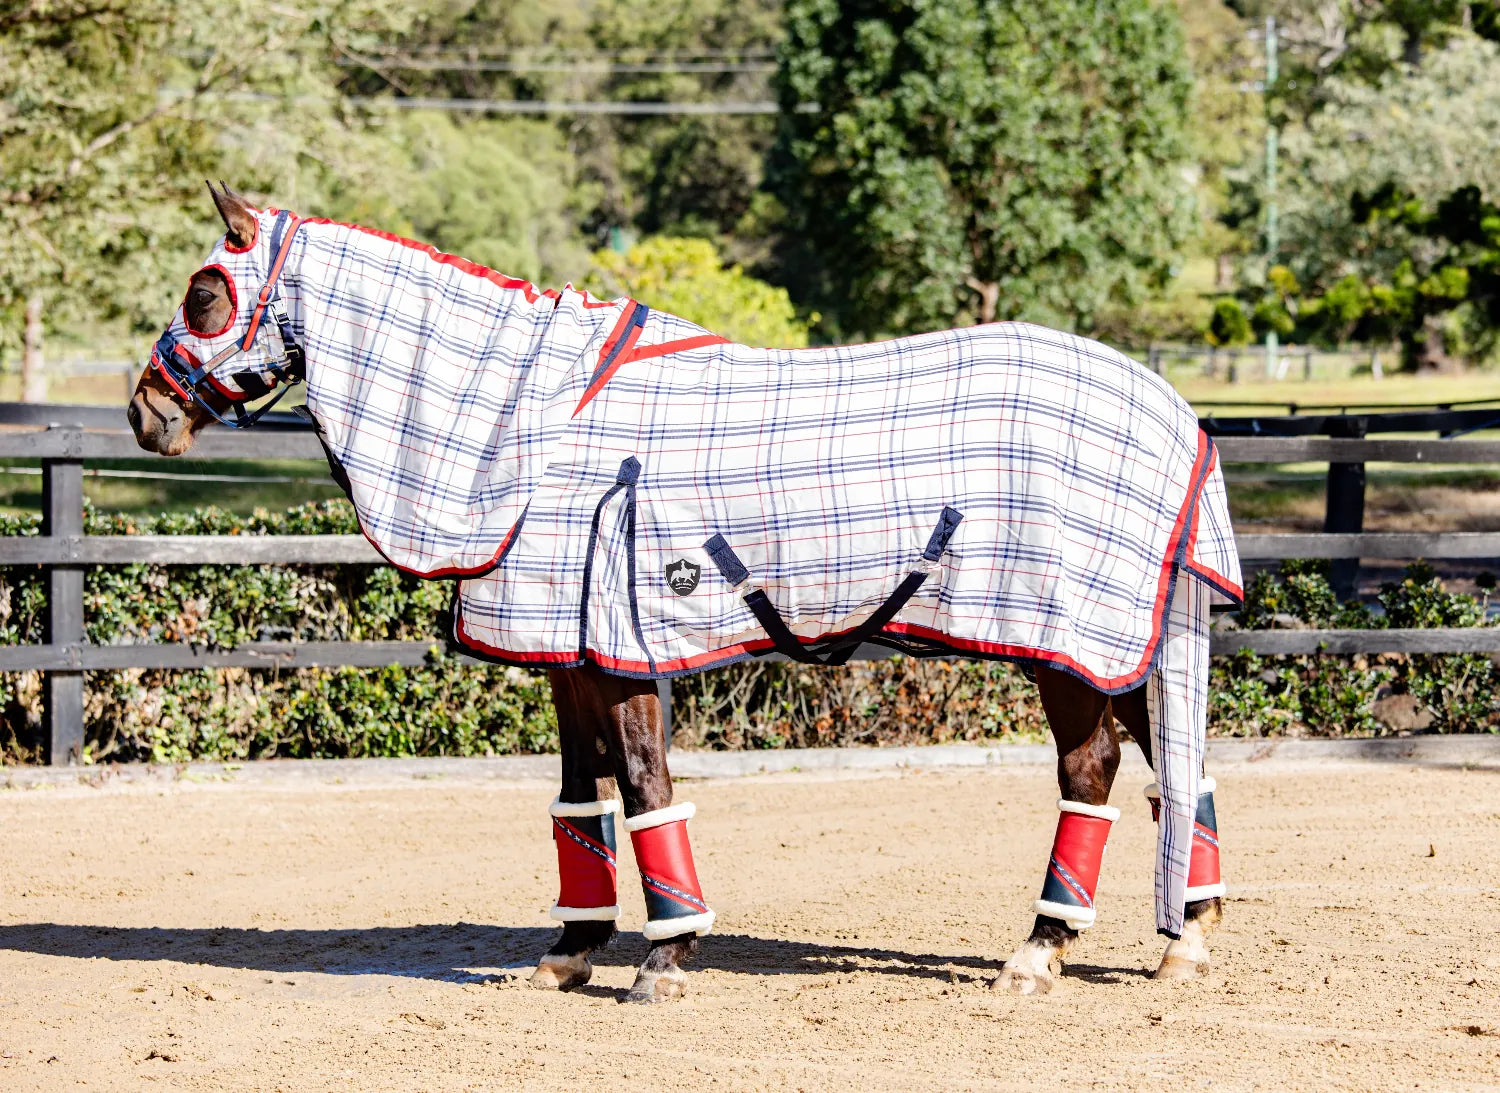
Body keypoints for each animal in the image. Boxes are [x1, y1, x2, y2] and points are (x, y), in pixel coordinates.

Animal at [128, 183, 1241, 1002]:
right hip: (1118, 641)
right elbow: (582, 790)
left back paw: (1041, 949)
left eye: (205, 292)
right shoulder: (566, 650)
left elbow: (645, 783)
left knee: (1093, 767)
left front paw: (666, 957)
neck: (532, 427)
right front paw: (571, 950)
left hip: (1071, 643)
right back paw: (1185, 936)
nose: (145, 412)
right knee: (1172, 759)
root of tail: (1172, 410)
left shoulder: (622, 649)